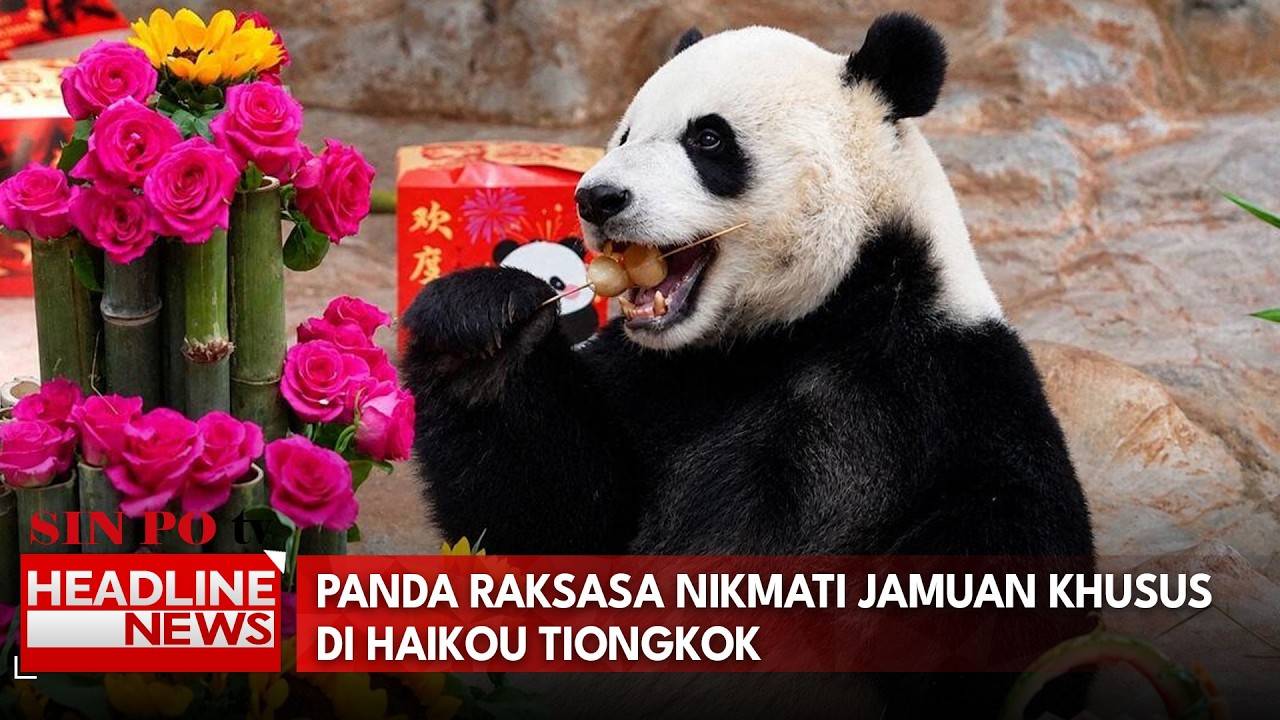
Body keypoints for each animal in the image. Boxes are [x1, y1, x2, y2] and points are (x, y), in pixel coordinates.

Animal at [403, 13, 1095, 718]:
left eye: (707, 138)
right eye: (626, 133)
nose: (597, 197)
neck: (797, 327)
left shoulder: (948, 383)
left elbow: (1020, 565)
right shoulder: (657, 381)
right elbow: (555, 523)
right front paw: (481, 330)